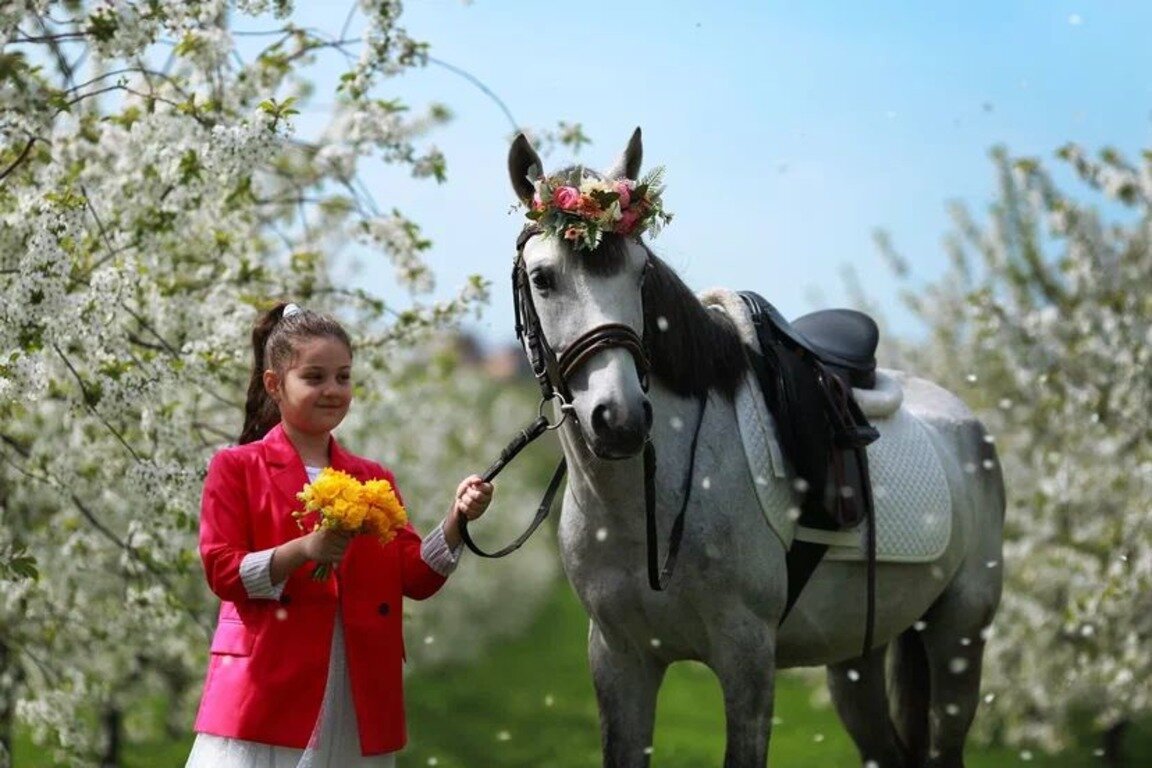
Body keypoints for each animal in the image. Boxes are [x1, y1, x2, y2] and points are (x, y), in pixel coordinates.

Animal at [499, 128, 1004, 764]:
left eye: (640, 275)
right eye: (543, 278)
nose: (620, 419)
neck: (647, 509)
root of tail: (969, 425)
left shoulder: (747, 661)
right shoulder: (619, 659)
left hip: (958, 639)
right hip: (859, 659)